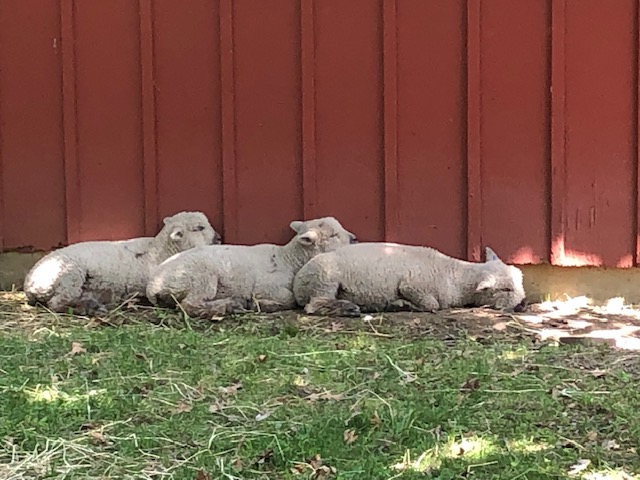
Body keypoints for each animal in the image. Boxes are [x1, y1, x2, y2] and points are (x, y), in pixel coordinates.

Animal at [23, 211, 221, 315]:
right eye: (199, 228)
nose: (219, 238)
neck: (157, 252)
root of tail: (31, 285)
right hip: (69, 277)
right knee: (58, 304)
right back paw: (91, 308)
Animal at [146, 217, 357, 318]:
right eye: (333, 235)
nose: (355, 239)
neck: (288, 259)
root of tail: (153, 286)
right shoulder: (268, 287)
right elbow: (287, 299)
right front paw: (263, 304)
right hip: (201, 277)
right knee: (189, 305)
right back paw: (230, 306)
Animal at [293, 243, 526, 317]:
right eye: (505, 289)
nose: (523, 304)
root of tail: (298, 283)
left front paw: (397, 304)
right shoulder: (412, 285)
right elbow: (431, 304)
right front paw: (402, 304)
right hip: (325, 278)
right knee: (314, 306)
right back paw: (348, 308)